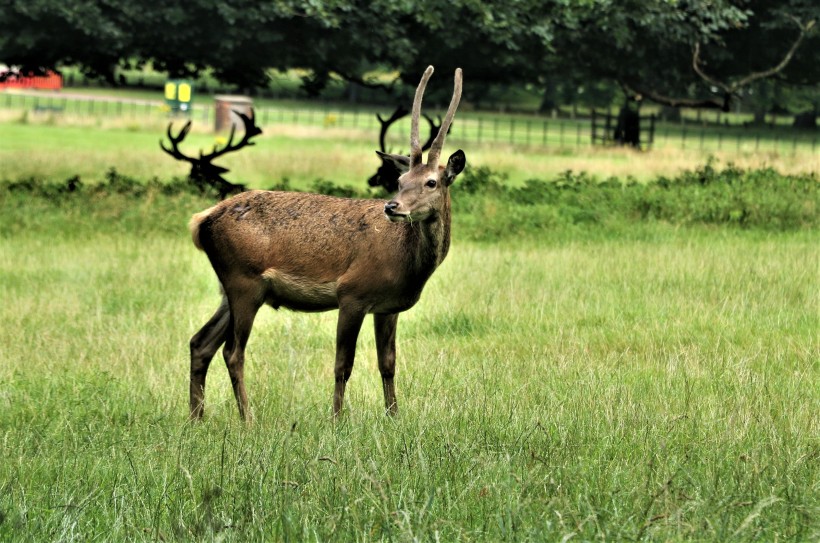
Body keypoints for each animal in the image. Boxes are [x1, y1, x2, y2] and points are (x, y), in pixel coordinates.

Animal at [188, 65, 464, 420]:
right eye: (401, 180)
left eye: (431, 182)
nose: (393, 206)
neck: (407, 266)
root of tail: (202, 220)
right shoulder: (352, 293)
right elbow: (342, 365)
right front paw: (336, 419)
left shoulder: (388, 307)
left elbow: (388, 363)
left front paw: (394, 417)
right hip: (243, 281)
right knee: (232, 352)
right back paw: (247, 419)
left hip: (230, 288)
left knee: (201, 342)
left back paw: (196, 418)